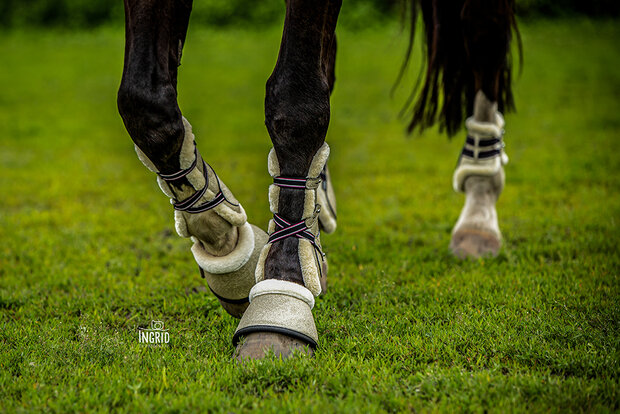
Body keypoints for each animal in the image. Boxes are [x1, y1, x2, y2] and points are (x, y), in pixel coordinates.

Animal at [116, 0, 520, 360]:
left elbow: (296, 104)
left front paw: (282, 294)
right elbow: (144, 102)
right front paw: (229, 250)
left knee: (484, 29)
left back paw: (479, 213)